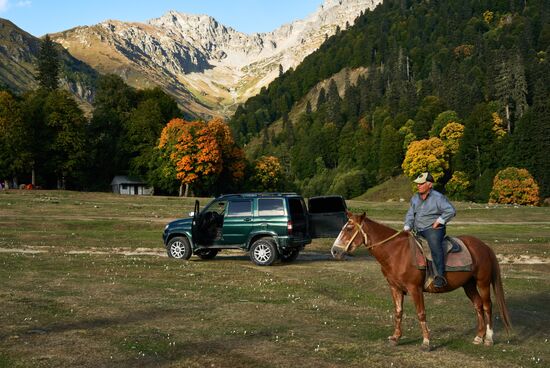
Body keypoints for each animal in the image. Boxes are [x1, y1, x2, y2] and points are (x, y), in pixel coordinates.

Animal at [332, 211, 512, 350]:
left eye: (349, 228)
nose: (335, 251)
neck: (396, 252)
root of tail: (484, 247)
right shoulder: (395, 288)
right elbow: (398, 312)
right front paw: (395, 338)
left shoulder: (415, 289)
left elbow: (421, 313)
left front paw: (426, 342)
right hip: (468, 285)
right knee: (478, 305)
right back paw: (478, 336)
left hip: (482, 283)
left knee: (487, 306)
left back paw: (488, 338)